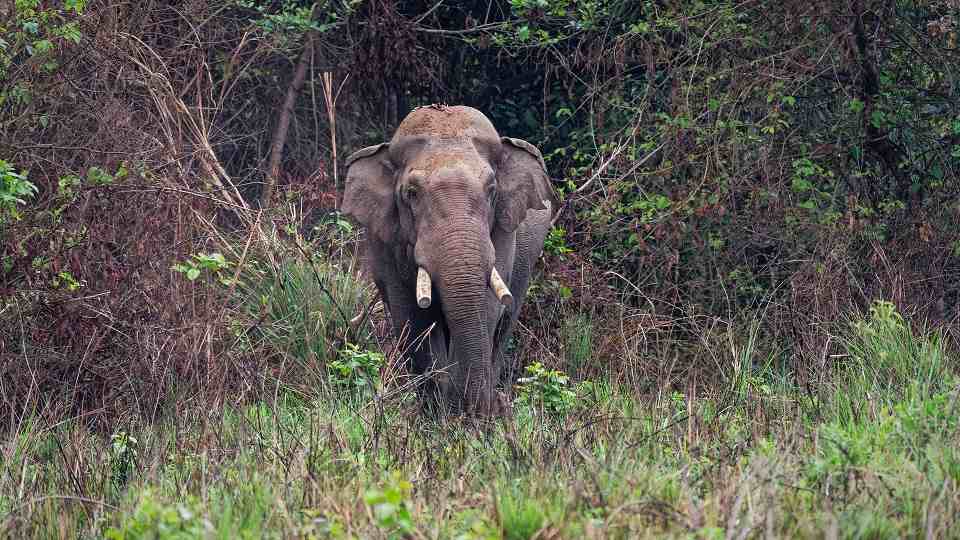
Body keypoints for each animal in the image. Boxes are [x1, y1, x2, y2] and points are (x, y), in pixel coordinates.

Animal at [341, 104, 558, 416]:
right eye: (411, 193)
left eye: (492, 190)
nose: (489, 410)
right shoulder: (387, 242)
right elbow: (413, 318)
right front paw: (438, 414)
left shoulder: (504, 231)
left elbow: (486, 309)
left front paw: (466, 414)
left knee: (504, 323)